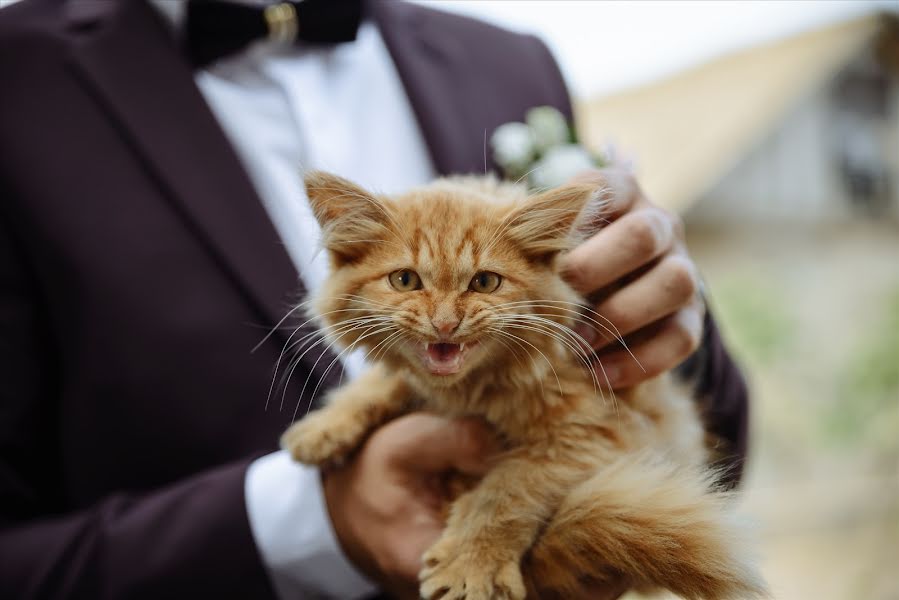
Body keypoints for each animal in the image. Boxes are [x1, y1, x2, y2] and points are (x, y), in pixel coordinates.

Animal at [282, 171, 768, 596]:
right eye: (405, 280)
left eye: (484, 282)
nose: (445, 323)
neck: (472, 388)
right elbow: (390, 381)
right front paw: (324, 426)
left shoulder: (597, 430)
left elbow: (506, 490)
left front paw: (469, 563)